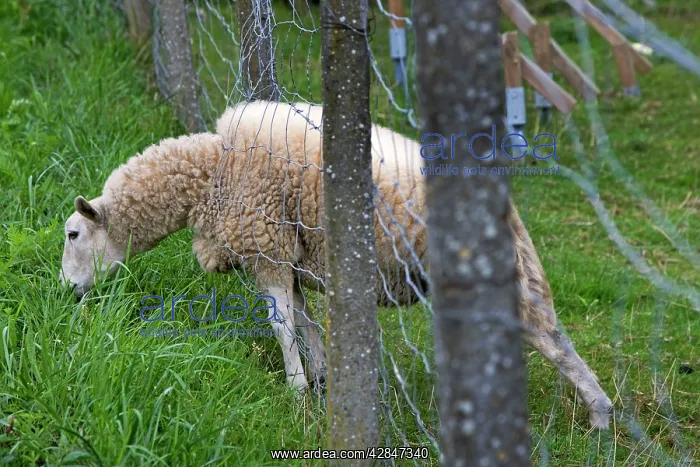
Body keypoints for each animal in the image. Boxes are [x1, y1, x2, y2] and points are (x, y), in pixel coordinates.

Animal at [60, 100, 613, 429]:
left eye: (73, 234)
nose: (68, 293)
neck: (212, 172)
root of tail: (506, 208)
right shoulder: (290, 258)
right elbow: (304, 322)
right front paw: (321, 377)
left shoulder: (268, 249)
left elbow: (283, 325)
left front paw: (297, 391)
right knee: (551, 334)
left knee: (548, 340)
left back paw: (599, 417)